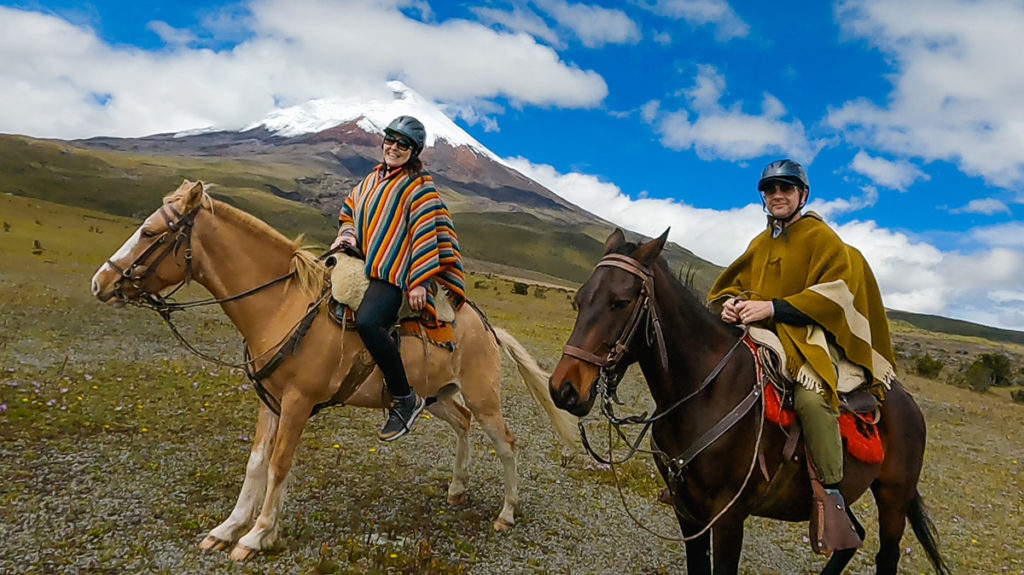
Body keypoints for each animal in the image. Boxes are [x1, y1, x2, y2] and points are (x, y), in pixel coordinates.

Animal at [91, 180, 581, 560]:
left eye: (149, 231)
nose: (101, 282)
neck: (281, 306)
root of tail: (486, 325)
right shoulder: (269, 401)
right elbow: (256, 464)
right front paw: (228, 528)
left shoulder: (297, 403)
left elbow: (279, 465)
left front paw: (257, 535)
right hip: (436, 396)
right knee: (461, 423)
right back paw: (457, 489)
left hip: (483, 396)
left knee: (506, 444)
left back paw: (506, 513)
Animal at [548, 228, 946, 572]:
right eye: (579, 299)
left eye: (621, 302)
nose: (563, 388)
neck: (705, 394)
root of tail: (908, 403)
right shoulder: (687, 512)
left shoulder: (728, 516)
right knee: (851, 538)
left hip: (893, 498)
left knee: (886, 556)